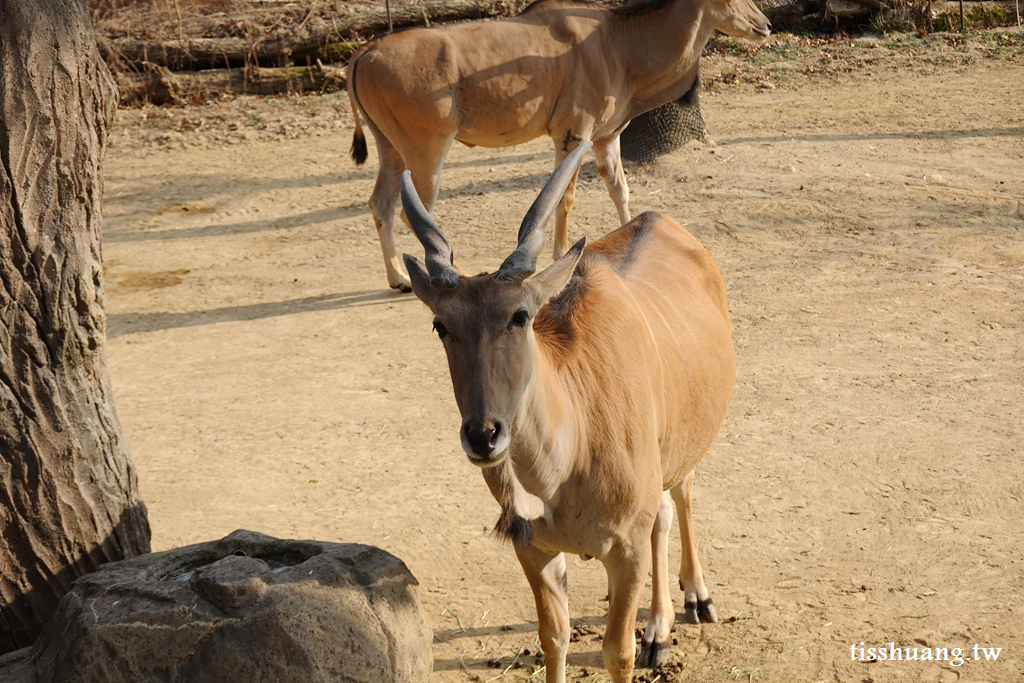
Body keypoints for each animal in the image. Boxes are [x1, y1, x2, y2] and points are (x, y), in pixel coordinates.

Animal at [346, 0, 770, 288]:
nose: (765, 26)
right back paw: (453, 275)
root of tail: (364, 53)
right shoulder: (573, 136)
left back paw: (398, 278)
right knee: (413, 212)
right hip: (427, 149)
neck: (618, 43)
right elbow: (564, 198)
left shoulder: (605, 138)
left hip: (391, 149)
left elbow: (620, 189)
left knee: (380, 204)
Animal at [399, 141, 737, 679]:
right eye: (440, 324)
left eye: (520, 316)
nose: (484, 435)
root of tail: (662, 221)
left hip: (687, 441)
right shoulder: (534, 549)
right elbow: (553, 638)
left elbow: (617, 651)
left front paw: (653, 632)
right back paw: (661, 625)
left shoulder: (624, 551)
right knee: (664, 511)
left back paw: (690, 603)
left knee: (680, 496)